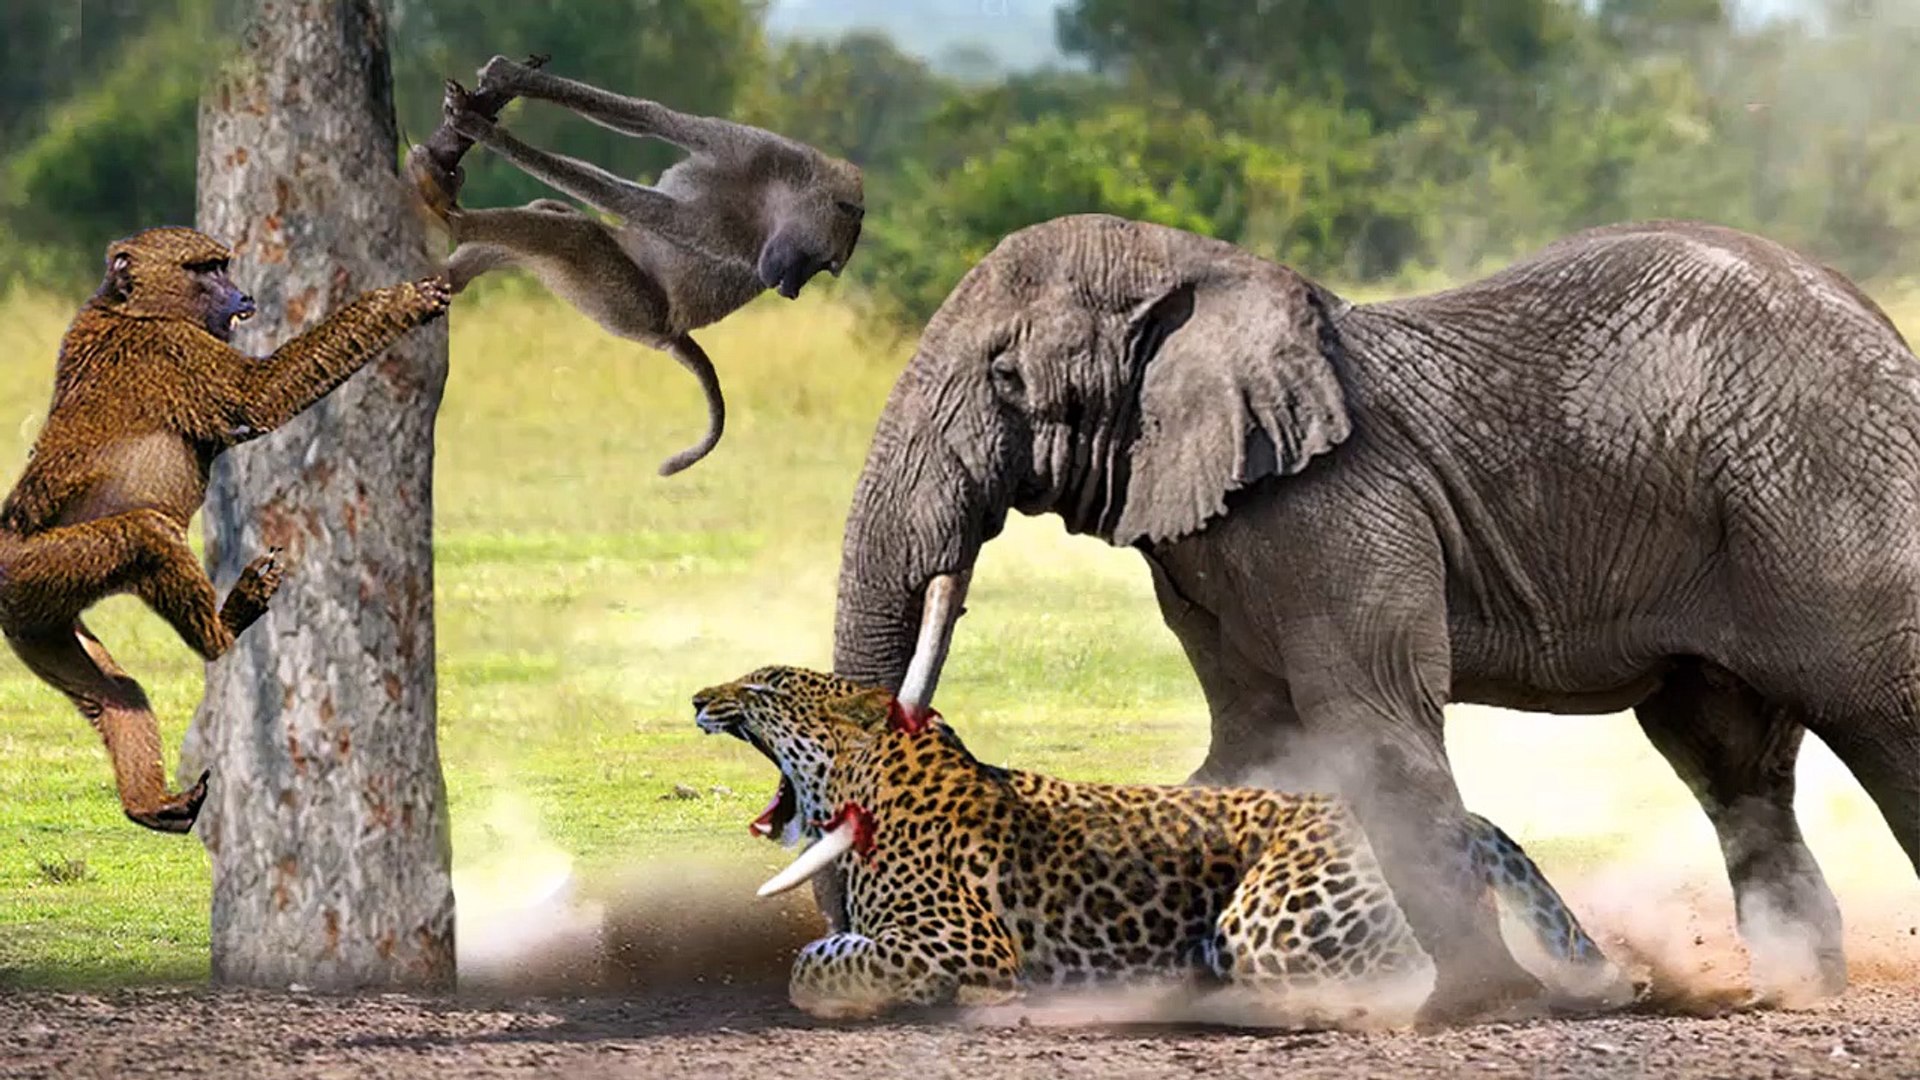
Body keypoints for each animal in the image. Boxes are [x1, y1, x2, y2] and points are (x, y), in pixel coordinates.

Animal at [0, 226, 451, 834]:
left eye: (222, 265)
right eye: (205, 269)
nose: (243, 297)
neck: (129, 308)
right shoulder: (174, 348)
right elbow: (260, 395)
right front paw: (403, 299)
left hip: (36, 623)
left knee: (117, 690)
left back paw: (151, 804)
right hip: (34, 567)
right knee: (147, 533)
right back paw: (225, 627)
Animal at [404, 54, 866, 477]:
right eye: (822, 262)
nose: (790, 290)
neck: (776, 197)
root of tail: (673, 332)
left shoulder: (726, 233)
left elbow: (642, 204)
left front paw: (485, 131)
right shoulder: (755, 147)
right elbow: (646, 117)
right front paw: (509, 77)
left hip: (624, 305)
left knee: (572, 236)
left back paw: (451, 217)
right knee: (552, 214)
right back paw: (451, 270)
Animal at [692, 664, 1638, 1023]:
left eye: (766, 687)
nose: (700, 697)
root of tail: (1466, 819)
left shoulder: (966, 940)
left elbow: (816, 963)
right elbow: (829, 949)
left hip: (1269, 921)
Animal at [828, 213, 1920, 1022]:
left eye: (1007, 380)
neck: (1207, 277)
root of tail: (1884, 333)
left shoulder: (1340, 510)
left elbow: (1371, 725)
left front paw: (1480, 1008)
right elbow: (1254, 744)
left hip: (1824, 495)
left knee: (1881, 711)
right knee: (1731, 763)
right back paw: (1795, 989)